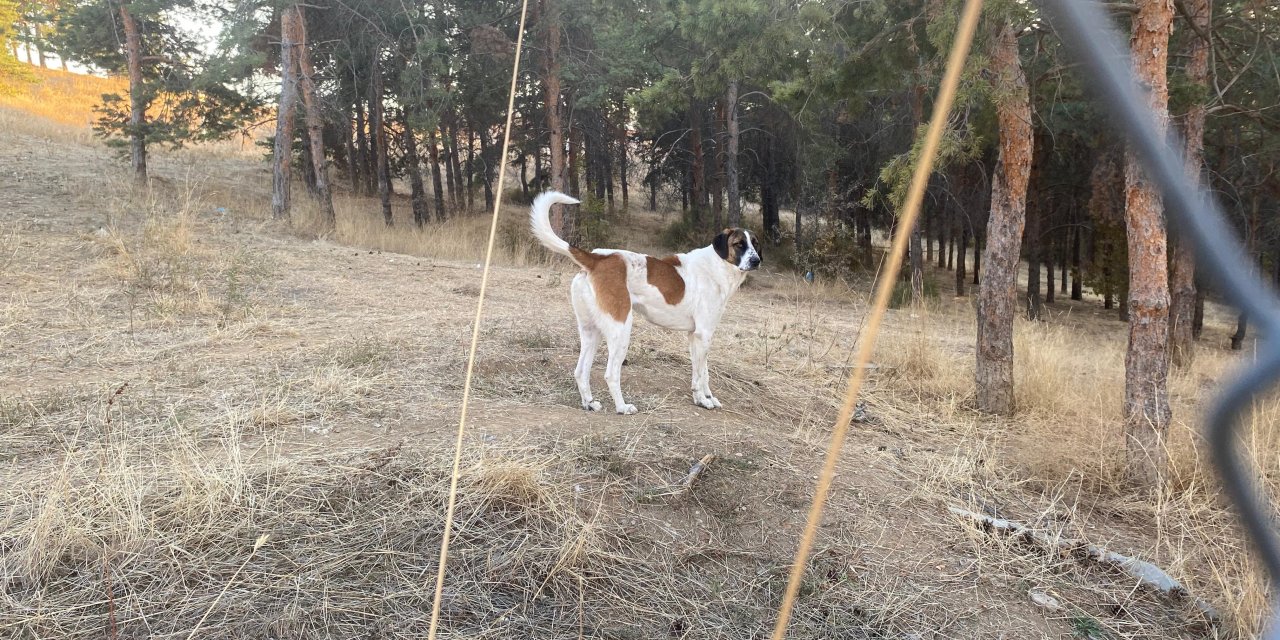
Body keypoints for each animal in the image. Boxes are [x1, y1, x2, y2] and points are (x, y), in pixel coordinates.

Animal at [529, 189, 757, 414]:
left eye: (755, 244)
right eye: (739, 244)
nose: (756, 261)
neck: (718, 266)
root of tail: (597, 259)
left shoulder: (697, 336)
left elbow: (703, 373)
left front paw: (707, 397)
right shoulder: (703, 334)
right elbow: (700, 375)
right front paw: (702, 400)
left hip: (591, 331)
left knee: (580, 371)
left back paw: (590, 403)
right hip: (621, 330)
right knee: (611, 374)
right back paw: (622, 407)